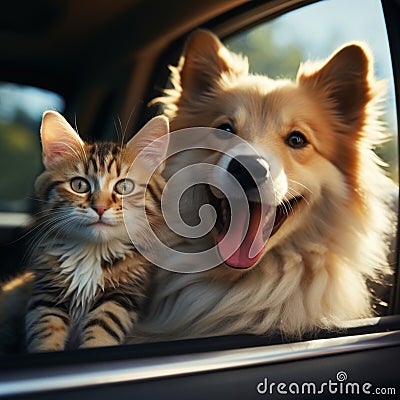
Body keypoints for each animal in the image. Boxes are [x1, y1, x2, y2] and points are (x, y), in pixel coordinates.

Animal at [23, 111, 170, 352]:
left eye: (124, 187)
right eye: (79, 185)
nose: (100, 208)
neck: (93, 252)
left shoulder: (123, 295)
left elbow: (103, 328)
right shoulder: (46, 296)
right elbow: (45, 331)